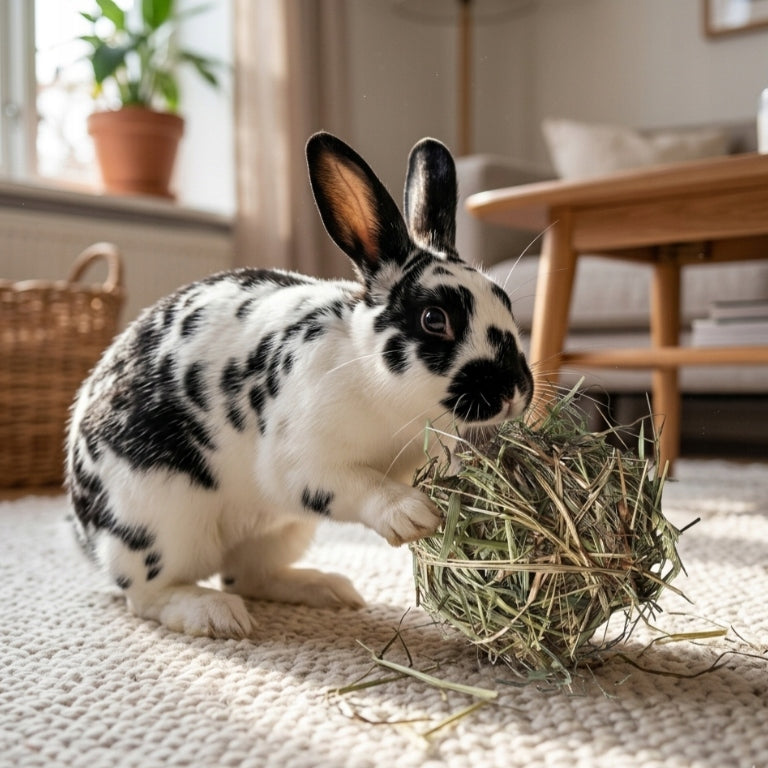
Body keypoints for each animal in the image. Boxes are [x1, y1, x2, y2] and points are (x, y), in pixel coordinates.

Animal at [66, 132, 534, 638]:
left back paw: (328, 589)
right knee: (149, 594)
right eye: (435, 319)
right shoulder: (304, 465)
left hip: (281, 531)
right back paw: (216, 615)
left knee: (248, 575)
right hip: (163, 524)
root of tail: (85, 528)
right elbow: (361, 485)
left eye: (506, 302)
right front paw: (414, 515)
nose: (515, 392)